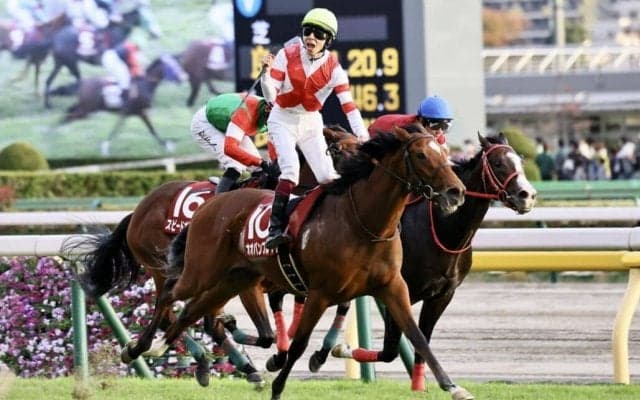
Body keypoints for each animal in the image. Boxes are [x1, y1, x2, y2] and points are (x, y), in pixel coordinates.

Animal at [67, 126, 357, 387]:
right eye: (340, 151)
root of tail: (138, 210)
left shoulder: (296, 277)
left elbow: (339, 303)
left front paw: (318, 354)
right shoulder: (254, 281)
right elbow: (264, 332)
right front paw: (274, 351)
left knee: (189, 314)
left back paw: (231, 365)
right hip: (165, 267)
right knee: (170, 310)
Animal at [131, 125, 468, 400]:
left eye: (445, 152)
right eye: (422, 155)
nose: (456, 192)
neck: (363, 222)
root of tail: (209, 207)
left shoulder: (392, 286)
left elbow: (418, 336)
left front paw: (453, 387)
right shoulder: (319, 292)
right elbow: (298, 343)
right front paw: (278, 387)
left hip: (233, 280)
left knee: (194, 311)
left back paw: (175, 350)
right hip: (202, 272)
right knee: (170, 294)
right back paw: (140, 346)